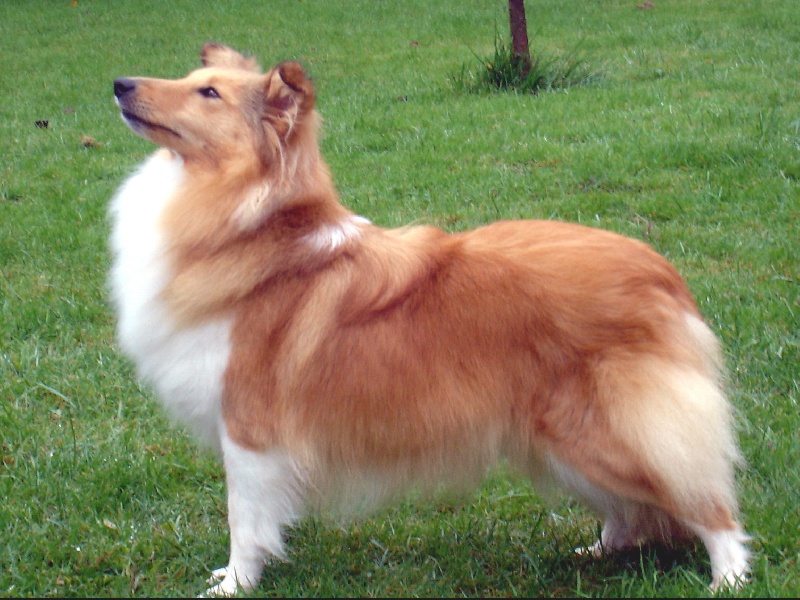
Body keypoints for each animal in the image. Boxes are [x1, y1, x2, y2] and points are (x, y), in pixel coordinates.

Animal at [111, 43, 752, 596]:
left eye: (209, 93)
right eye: (193, 80)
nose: (120, 84)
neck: (256, 230)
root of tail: (663, 274)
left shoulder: (248, 427)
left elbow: (243, 520)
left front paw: (234, 585)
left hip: (612, 429)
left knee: (707, 500)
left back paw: (729, 578)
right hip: (564, 439)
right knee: (631, 509)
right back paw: (597, 551)